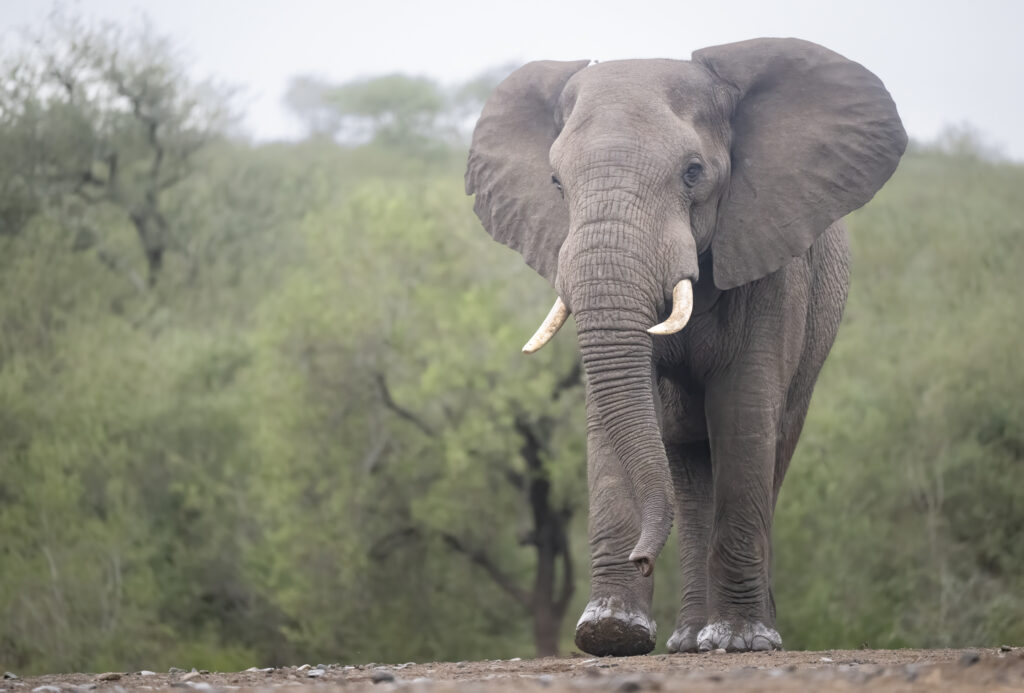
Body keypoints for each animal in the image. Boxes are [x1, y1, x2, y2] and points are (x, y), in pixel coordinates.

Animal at [465, 38, 906, 655]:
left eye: (694, 173)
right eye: (555, 183)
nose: (644, 558)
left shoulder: (769, 261)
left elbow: (744, 411)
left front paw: (743, 641)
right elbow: (614, 412)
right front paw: (610, 634)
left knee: (772, 446)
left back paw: (742, 634)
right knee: (689, 461)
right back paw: (690, 639)